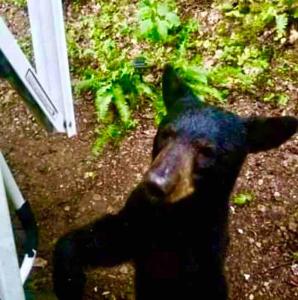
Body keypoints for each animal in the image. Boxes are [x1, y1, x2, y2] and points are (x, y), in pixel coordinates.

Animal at [52, 65, 296, 300]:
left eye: (207, 151)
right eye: (166, 133)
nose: (156, 183)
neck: (171, 217)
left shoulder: (202, 253)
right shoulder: (138, 221)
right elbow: (105, 238)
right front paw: (69, 280)